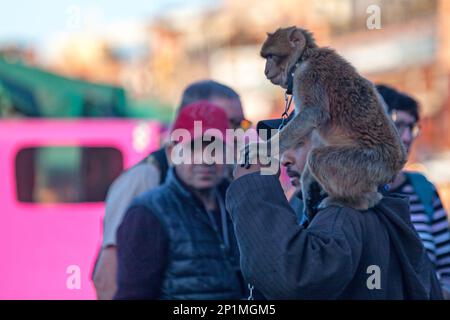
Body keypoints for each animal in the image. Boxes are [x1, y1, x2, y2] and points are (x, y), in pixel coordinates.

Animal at [246, 26, 408, 211]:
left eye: (271, 57)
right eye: (266, 58)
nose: (266, 71)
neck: (304, 57)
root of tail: (397, 164)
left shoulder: (307, 75)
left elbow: (312, 114)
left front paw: (262, 149)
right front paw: (306, 180)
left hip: (369, 164)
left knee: (318, 158)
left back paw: (357, 201)